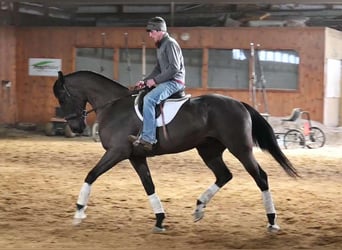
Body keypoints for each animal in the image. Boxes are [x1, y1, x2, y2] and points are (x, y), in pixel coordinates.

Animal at [52, 70, 298, 232]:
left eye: (62, 96)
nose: (76, 127)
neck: (113, 106)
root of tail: (239, 104)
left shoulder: (117, 152)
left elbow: (91, 175)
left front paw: (79, 211)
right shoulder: (136, 156)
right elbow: (149, 185)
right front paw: (160, 220)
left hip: (240, 148)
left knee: (260, 177)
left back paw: (272, 221)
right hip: (208, 150)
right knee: (224, 175)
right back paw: (199, 209)